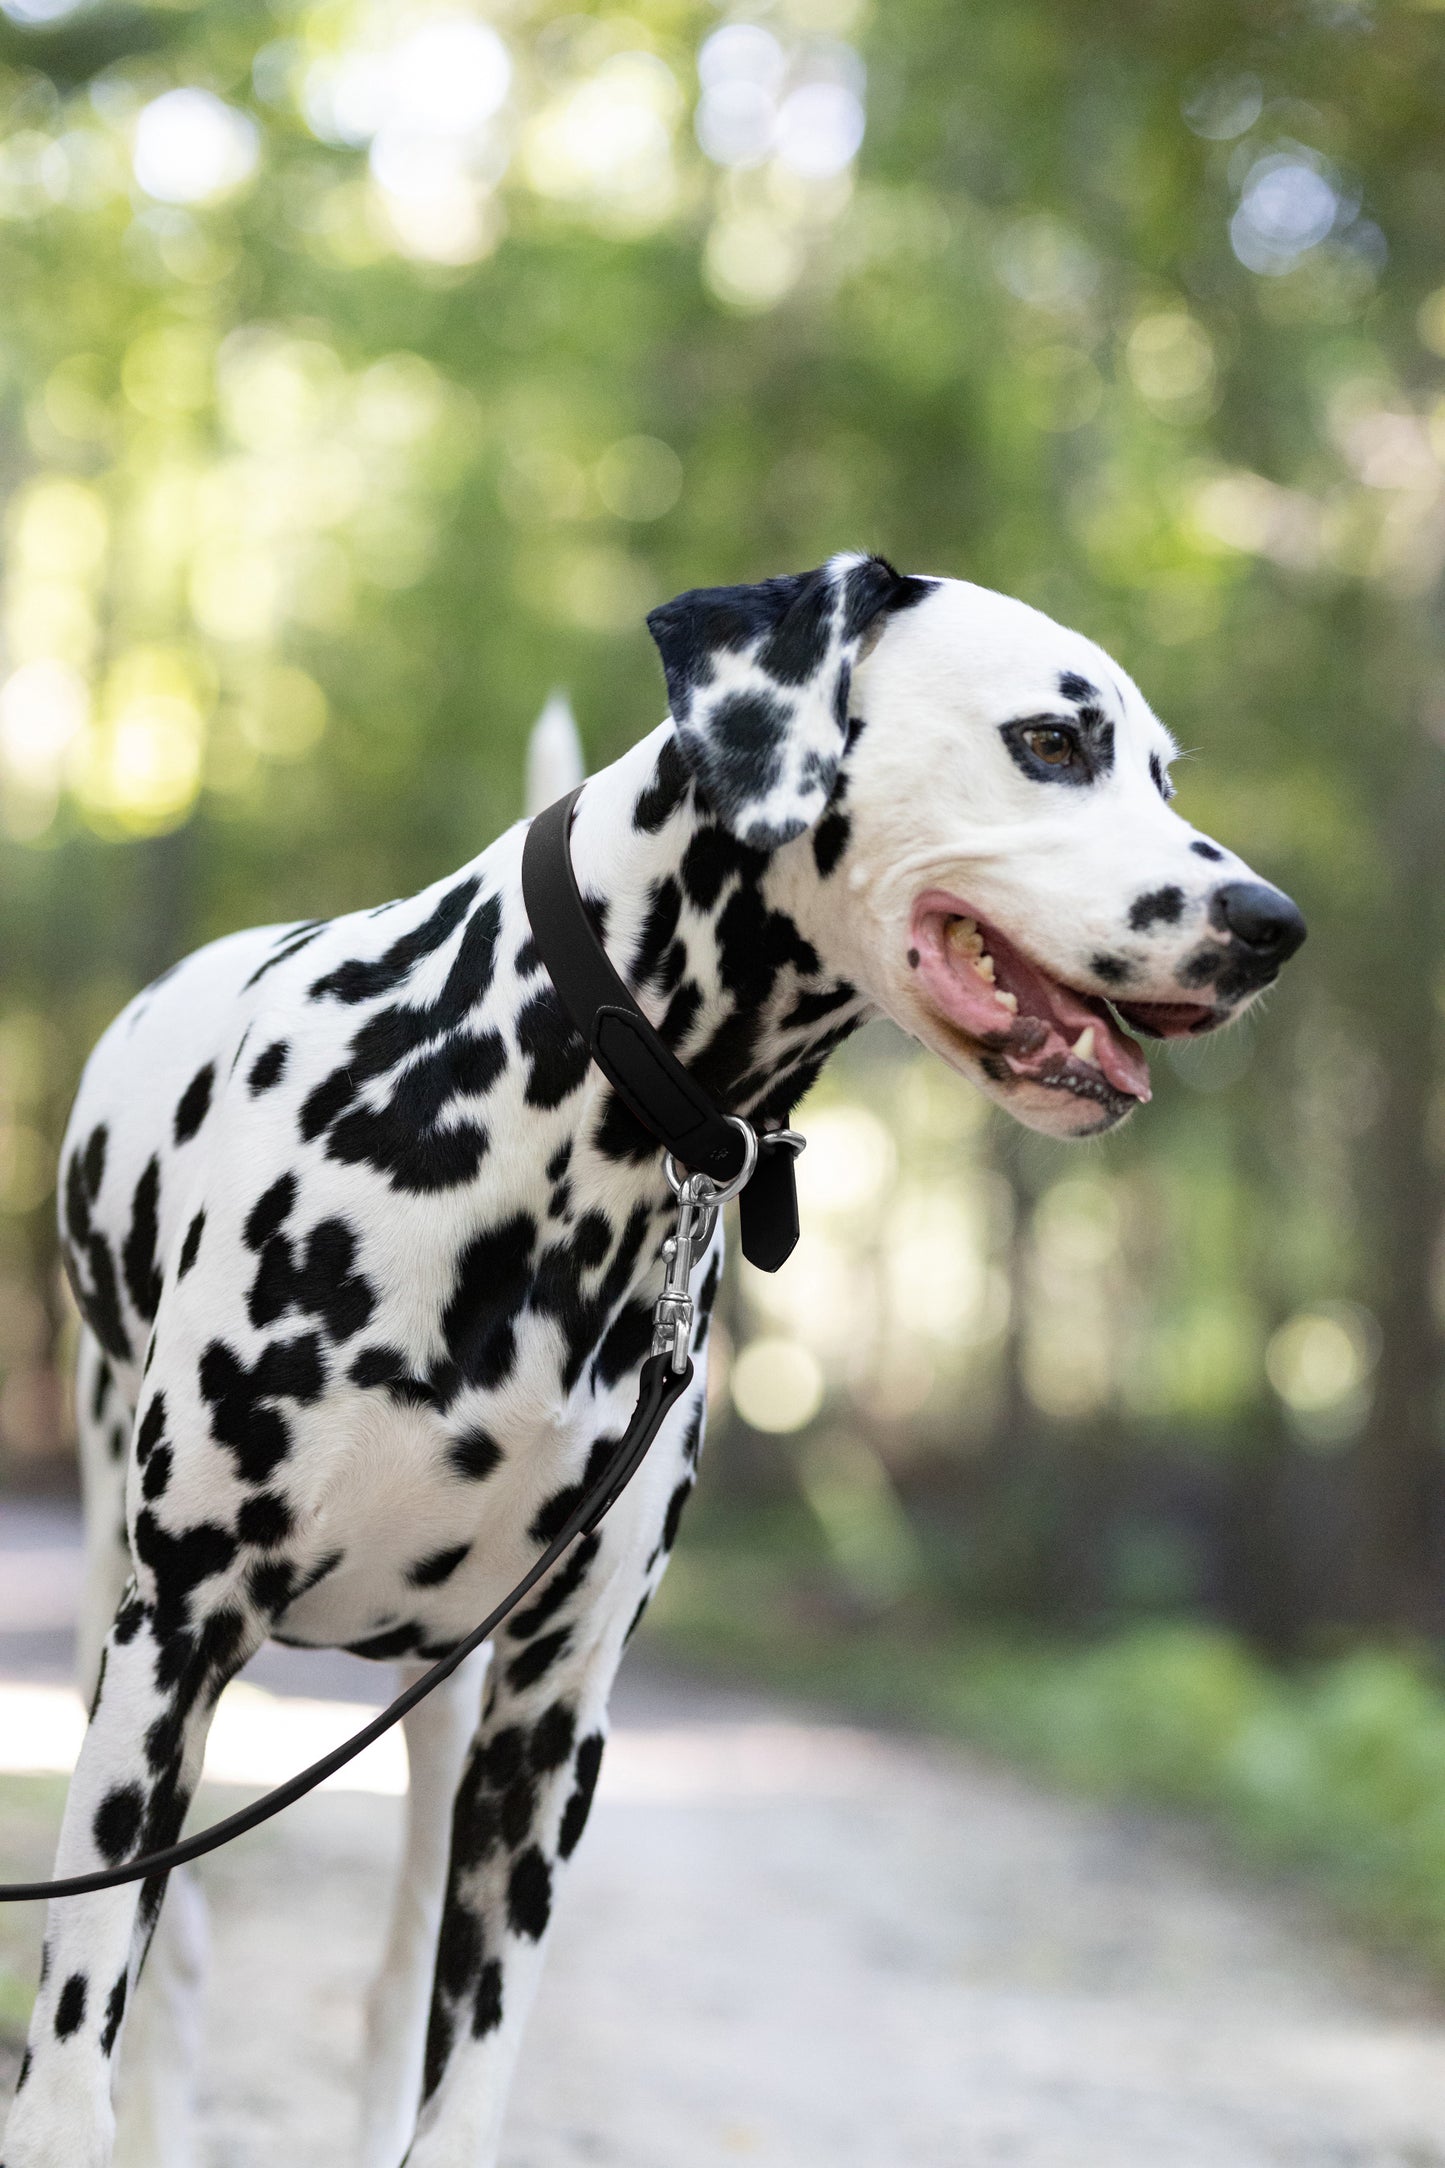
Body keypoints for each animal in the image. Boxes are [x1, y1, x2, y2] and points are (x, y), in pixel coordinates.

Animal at [2, 555, 1308, 2168]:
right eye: (1053, 743)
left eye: (1162, 770)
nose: (1271, 923)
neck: (551, 1115)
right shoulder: (179, 1641)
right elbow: (74, 2057)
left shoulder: (551, 1718)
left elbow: (462, 2082)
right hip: (125, 1637)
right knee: (170, 1985)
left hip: (439, 1710)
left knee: (386, 2001)